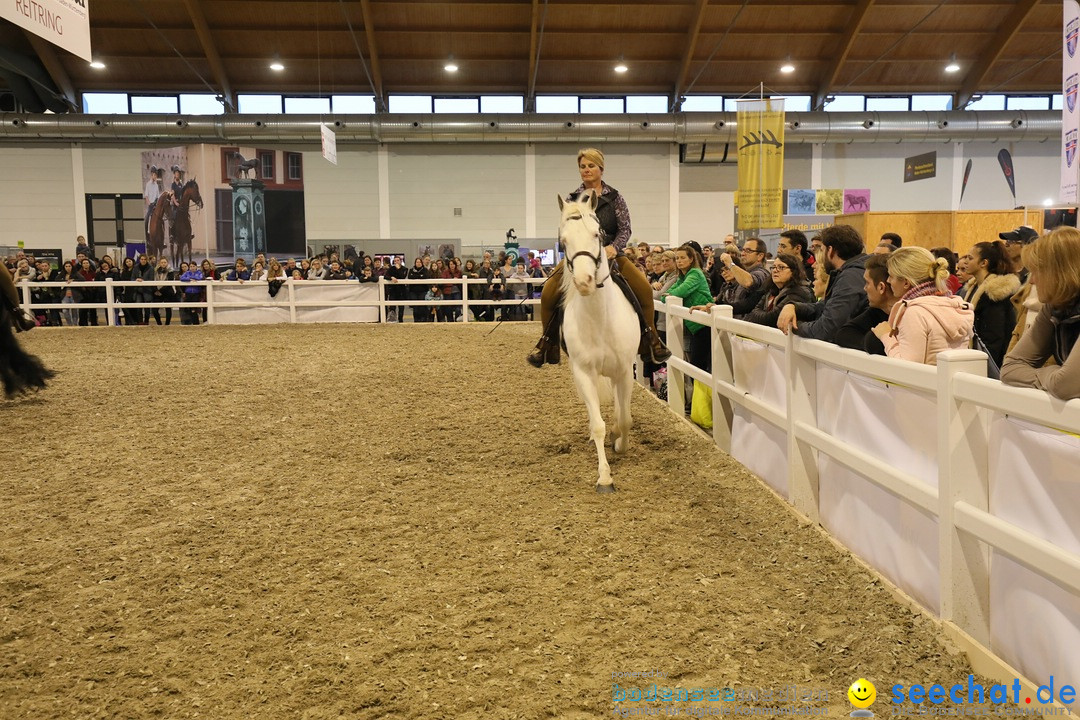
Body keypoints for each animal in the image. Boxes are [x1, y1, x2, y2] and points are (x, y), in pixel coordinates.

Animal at [557, 193, 639, 496]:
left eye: (597, 234)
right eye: (563, 241)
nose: (584, 282)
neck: (599, 320)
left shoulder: (625, 371)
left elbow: (625, 419)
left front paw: (620, 444)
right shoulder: (584, 373)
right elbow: (598, 425)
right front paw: (604, 477)